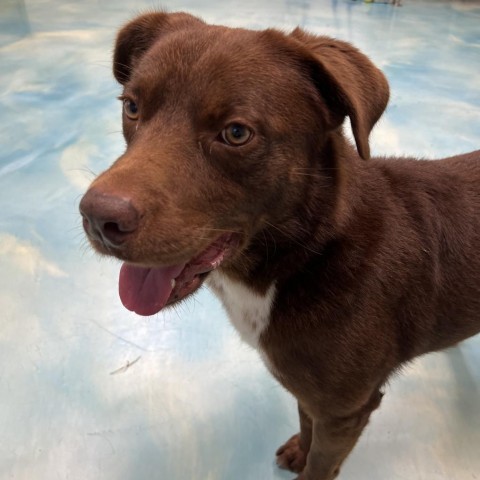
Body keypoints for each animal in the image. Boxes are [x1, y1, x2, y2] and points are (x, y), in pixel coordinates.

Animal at [79, 11, 480, 480]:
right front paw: (298, 450)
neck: (309, 255)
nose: (97, 218)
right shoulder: (311, 392)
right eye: (132, 106)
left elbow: (321, 463)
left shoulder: (346, 410)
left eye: (236, 133)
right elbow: (306, 423)